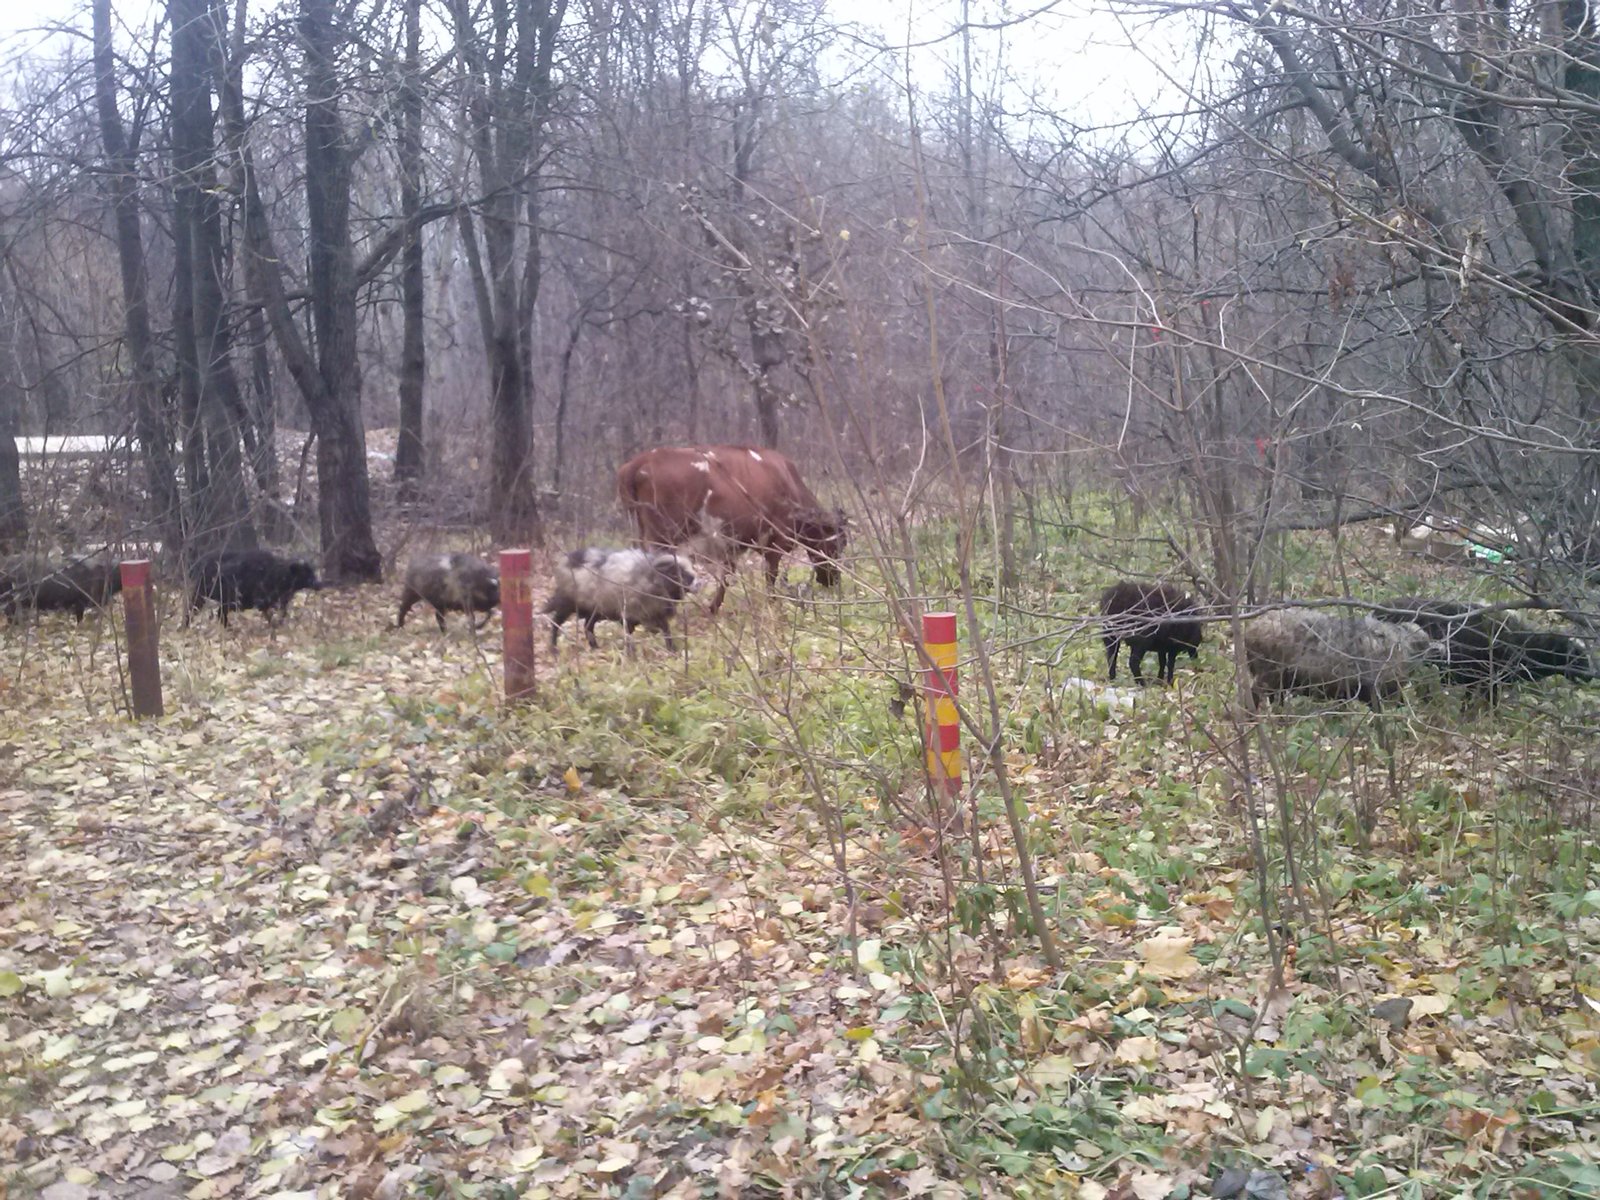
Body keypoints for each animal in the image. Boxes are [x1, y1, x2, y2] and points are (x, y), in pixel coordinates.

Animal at [188, 553, 320, 630]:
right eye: (305, 573)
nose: (319, 584)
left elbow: (281, 612)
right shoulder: (261, 600)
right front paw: (274, 626)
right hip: (206, 595)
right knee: (199, 610)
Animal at [544, 553, 694, 652]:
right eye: (677, 572)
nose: (696, 581)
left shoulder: (656, 614)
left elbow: (667, 631)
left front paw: (672, 650)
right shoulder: (628, 616)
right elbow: (629, 636)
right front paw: (631, 656)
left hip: (595, 611)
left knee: (588, 626)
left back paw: (595, 648)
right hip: (567, 605)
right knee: (555, 623)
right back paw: (554, 649)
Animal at [614, 444, 851, 614]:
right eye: (839, 544)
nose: (833, 580)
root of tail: (642, 460)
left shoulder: (730, 544)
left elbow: (726, 576)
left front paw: (713, 607)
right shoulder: (775, 542)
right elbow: (770, 576)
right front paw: (772, 604)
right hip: (662, 536)